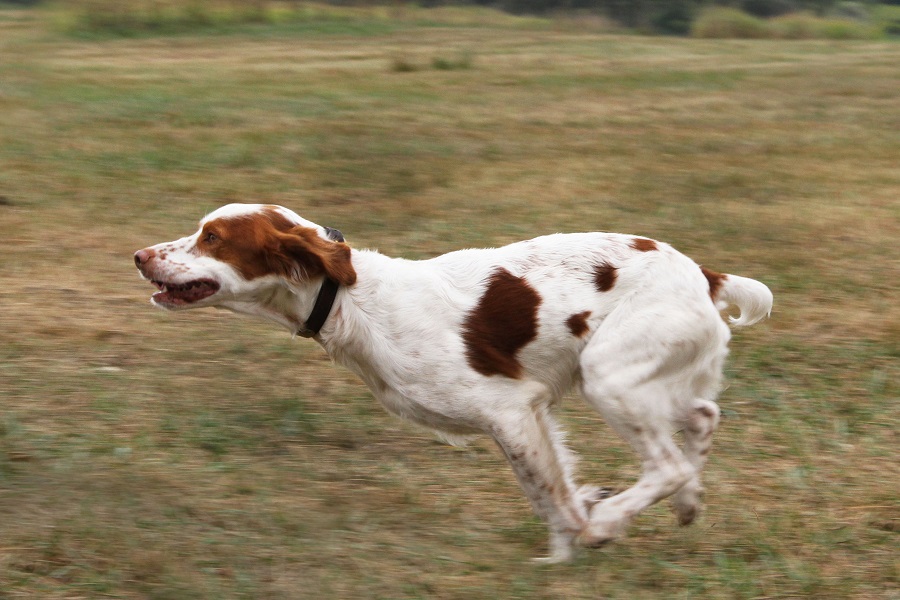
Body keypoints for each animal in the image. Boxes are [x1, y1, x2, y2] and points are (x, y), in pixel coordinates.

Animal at [135, 205, 772, 564]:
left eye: (212, 238)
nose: (140, 256)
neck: (350, 297)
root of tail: (702, 272)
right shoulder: (529, 414)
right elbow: (551, 491)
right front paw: (561, 558)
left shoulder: (510, 409)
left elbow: (552, 495)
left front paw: (585, 535)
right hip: (645, 378)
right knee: (701, 423)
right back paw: (688, 504)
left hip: (608, 375)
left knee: (669, 464)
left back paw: (615, 519)